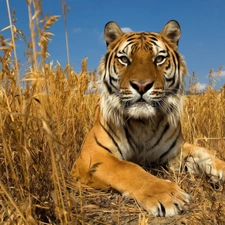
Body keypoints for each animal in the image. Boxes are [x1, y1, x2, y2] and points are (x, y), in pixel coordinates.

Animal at [71, 20, 225, 217]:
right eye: (124, 59)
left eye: (159, 59)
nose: (141, 85)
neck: (142, 123)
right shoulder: (92, 154)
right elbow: (127, 168)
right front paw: (169, 195)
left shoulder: (175, 152)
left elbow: (204, 153)